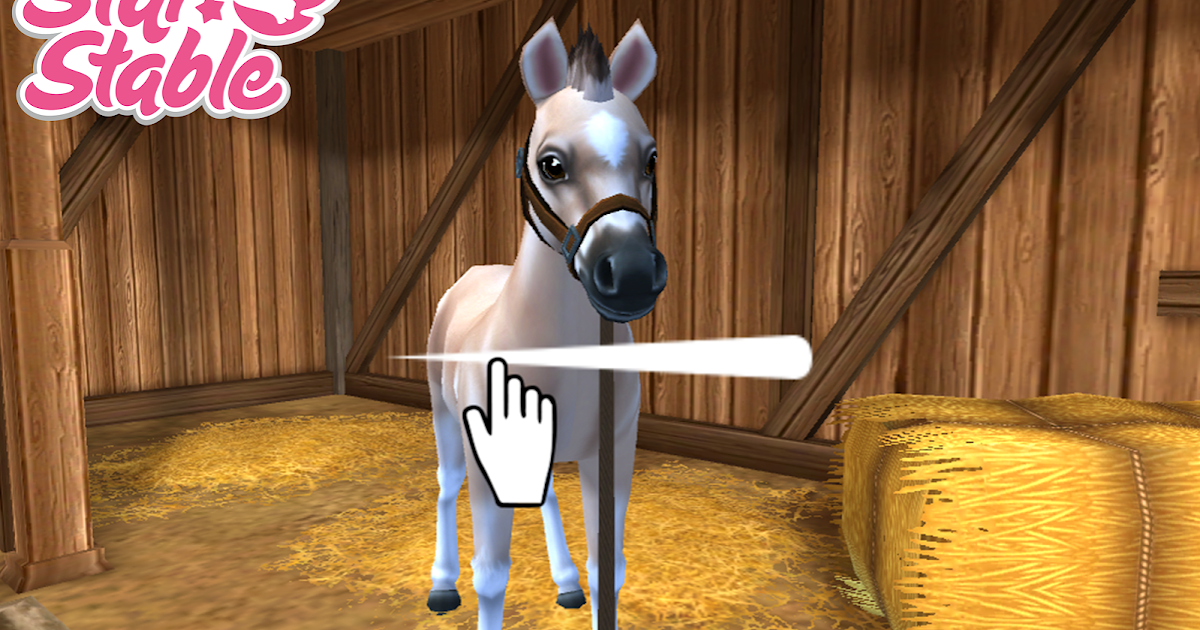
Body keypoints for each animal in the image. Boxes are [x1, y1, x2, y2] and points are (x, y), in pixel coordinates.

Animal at [424, 18, 664, 630]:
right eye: (551, 163)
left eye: (650, 158)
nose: (630, 274)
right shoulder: (489, 456)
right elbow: (491, 575)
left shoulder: (613, 455)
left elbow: (609, 570)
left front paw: (582, 584)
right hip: (444, 418)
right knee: (445, 488)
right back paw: (440, 584)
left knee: (547, 491)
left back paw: (565, 582)